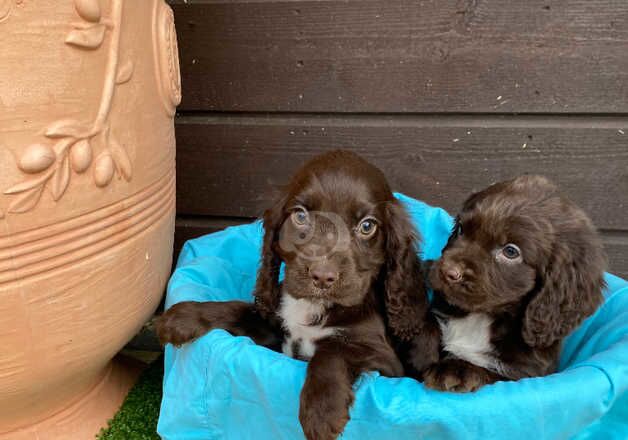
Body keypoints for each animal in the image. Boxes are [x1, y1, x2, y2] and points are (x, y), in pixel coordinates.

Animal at [157, 150, 432, 438]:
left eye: (367, 226)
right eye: (300, 216)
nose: (322, 276)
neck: (315, 306)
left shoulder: (385, 361)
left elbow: (334, 350)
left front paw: (322, 411)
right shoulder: (274, 325)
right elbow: (237, 309)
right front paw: (182, 317)